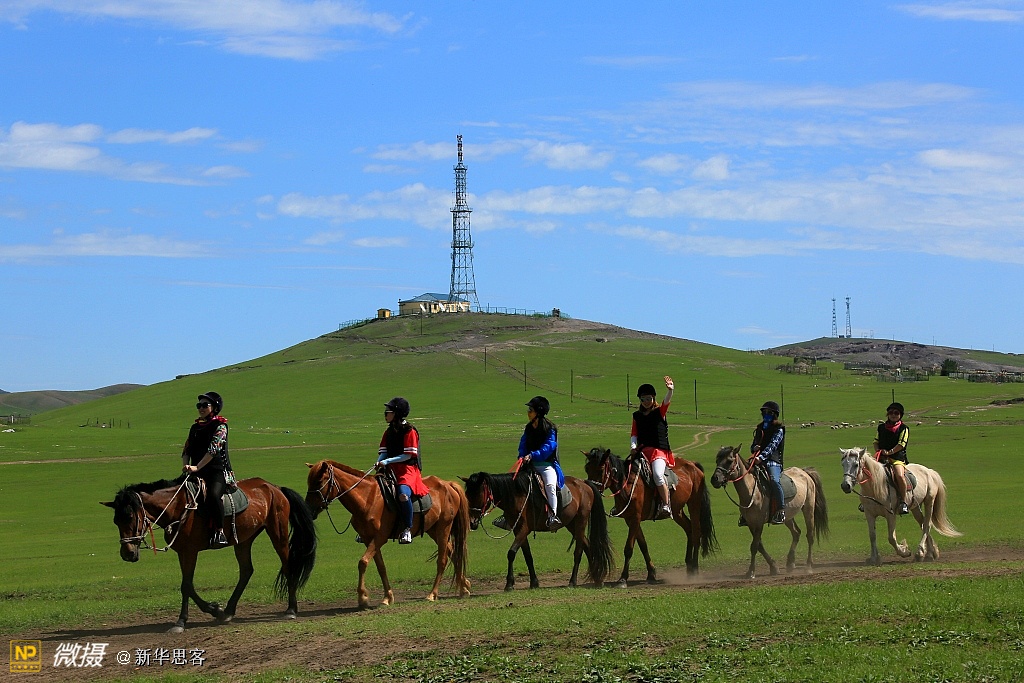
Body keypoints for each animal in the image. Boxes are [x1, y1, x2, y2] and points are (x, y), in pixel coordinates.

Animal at [101, 475, 317, 633]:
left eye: (130, 516)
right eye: (115, 520)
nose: (127, 553)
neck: (178, 507)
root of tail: (275, 488)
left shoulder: (190, 552)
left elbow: (186, 586)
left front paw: (187, 619)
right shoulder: (183, 553)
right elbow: (187, 585)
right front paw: (215, 612)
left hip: (278, 533)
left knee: (288, 566)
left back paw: (291, 609)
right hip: (244, 540)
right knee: (246, 571)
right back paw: (229, 611)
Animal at [304, 460, 471, 608]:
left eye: (319, 481)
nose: (309, 510)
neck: (367, 498)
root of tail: (448, 484)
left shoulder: (379, 538)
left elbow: (363, 562)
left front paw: (362, 597)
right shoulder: (369, 539)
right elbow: (380, 567)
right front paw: (387, 597)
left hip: (444, 528)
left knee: (442, 559)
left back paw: (432, 594)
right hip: (433, 530)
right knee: (453, 552)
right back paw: (464, 586)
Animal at [462, 469, 615, 591]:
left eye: (478, 494)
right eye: (467, 495)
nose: (472, 522)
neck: (516, 496)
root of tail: (583, 483)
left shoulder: (524, 529)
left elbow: (511, 553)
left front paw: (509, 584)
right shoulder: (518, 531)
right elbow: (528, 556)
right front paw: (534, 582)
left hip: (580, 522)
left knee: (578, 551)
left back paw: (573, 581)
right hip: (571, 524)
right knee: (587, 545)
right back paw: (597, 578)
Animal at [582, 447, 718, 585]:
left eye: (600, 469)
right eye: (587, 469)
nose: (591, 489)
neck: (629, 484)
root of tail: (693, 465)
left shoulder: (635, 518)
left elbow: (629, 548)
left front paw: (623, 578)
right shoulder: (630, 520)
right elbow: (643, 545)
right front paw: (651, 573)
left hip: (694, 505)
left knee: (696, 532)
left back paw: (694, 568)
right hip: (677, 511)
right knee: (689, 529)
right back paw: (689, 566)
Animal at [709, 445, 829, 579]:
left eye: (729, 461)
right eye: (717, 460)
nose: (714, 479)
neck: (752, 490)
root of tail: (804, 472)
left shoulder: (759, 523)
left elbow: (754, 546)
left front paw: (751, 572)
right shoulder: (751, 523)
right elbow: (759, 545)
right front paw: (774, 567)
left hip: (808, 509)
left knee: (810, 536)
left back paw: (808, 567)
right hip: (787, 516)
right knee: (796, 533)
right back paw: (790, 563)